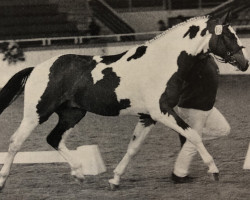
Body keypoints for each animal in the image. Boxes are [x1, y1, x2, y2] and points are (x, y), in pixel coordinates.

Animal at [0, 13, 248, 189]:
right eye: (228, 36)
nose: (244, 63)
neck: (162, 62)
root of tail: (36, 68)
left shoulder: (148, 116)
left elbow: (133, 148)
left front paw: (115, 179)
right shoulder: (161, 111)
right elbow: (194, 135)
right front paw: (214, 170)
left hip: (73, 113)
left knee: (54, 138)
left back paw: (79, 174)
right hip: (36, 114)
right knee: (15, 142)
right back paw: (3, 181)